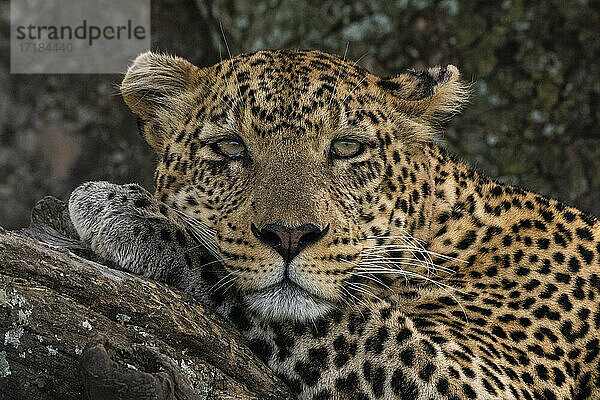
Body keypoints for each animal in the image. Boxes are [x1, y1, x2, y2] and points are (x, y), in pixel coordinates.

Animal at [67, 48, 600, 398]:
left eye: (346, 147)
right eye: (231, 147)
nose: (289, 236)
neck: (447, 231)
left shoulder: (482, 382)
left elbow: (354, 318)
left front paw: (129, 214)